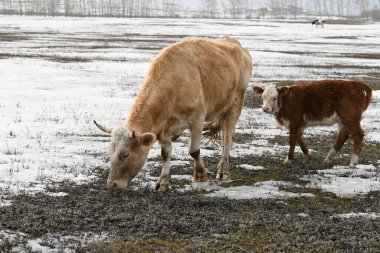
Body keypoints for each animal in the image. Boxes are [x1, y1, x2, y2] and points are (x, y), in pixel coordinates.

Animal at [93, 35, 252, 190]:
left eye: (125, 154)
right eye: (109, 152)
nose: (111, 184)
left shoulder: (197, 119)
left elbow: (194, 150)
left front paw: (201, 174)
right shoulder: (164, 129)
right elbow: (165, 154)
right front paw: (163, 182)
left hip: (236, 103)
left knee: (227, 139)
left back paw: (223, 170)